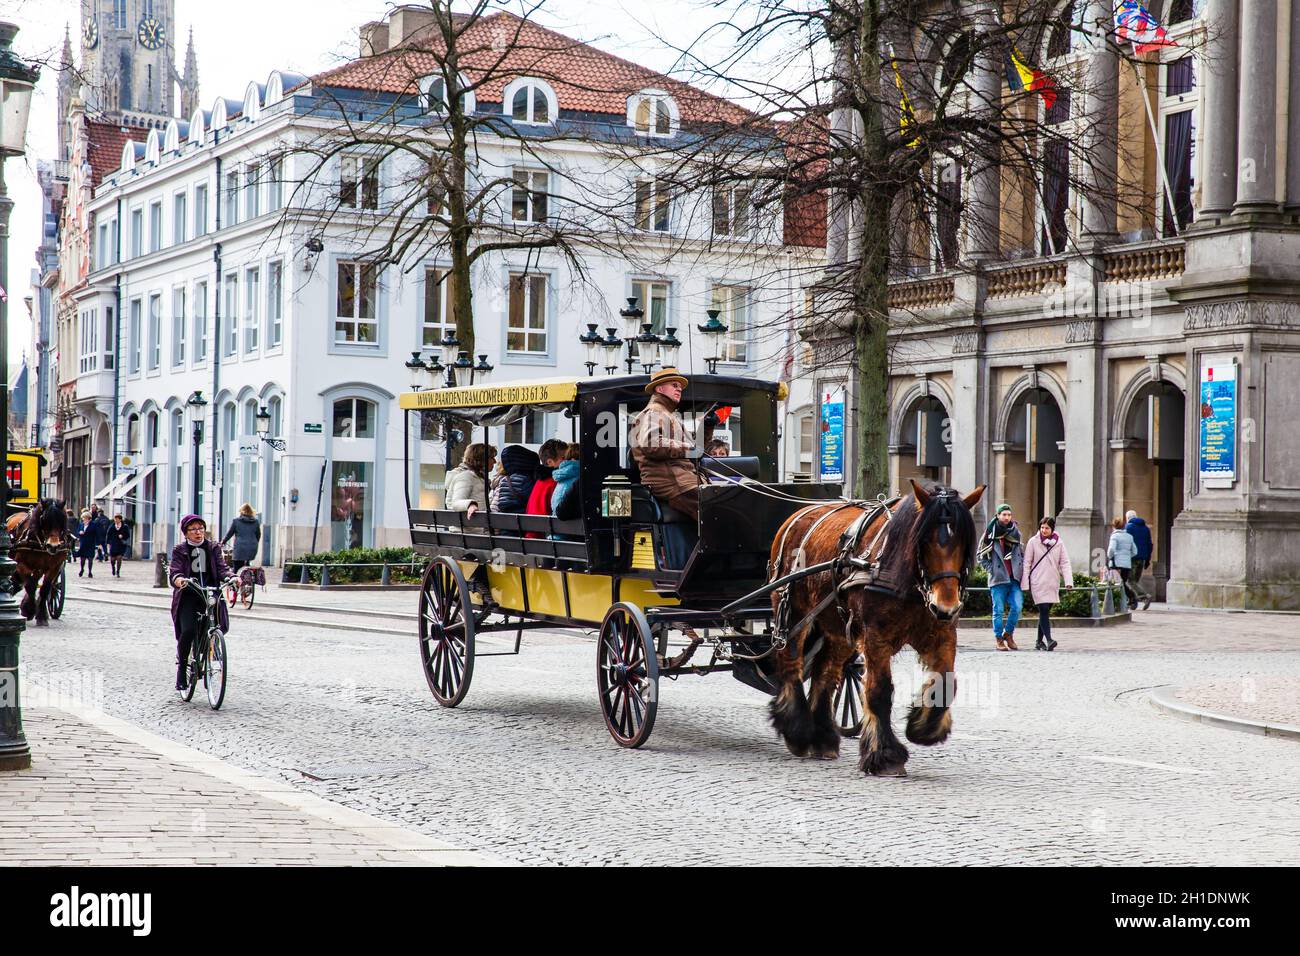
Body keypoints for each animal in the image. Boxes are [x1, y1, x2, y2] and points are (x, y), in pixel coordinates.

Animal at [759, 478, 982, 780]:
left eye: (964, 541)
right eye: (924, 540)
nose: (946, 606)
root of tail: (797, 516)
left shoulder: (942, 634)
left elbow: (946, 683)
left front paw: (924, 728)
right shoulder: (876, 637)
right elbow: (878, 691)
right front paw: (885, 755)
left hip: (838, 626)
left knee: (826, 674)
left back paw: (822, 737)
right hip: (793, 612)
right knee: (790, 663)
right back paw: (798, 732)